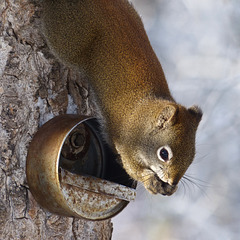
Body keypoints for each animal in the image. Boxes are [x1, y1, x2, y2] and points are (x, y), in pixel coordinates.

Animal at [41, 0, 202, 195]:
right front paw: (150, 182)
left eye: (191, 156)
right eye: (164, 154)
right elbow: (131, 168)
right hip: (66, 38)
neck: (142, 121)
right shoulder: (126, 145)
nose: (173, 181)